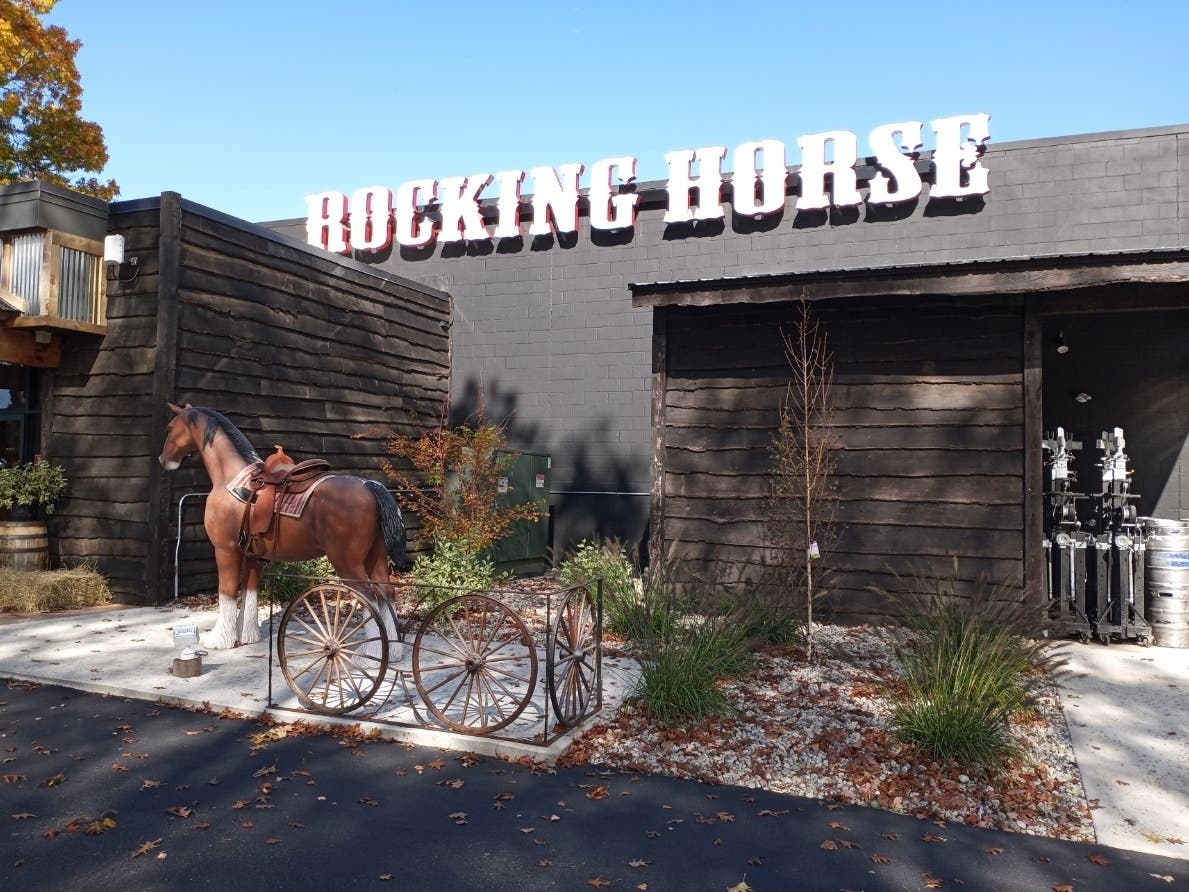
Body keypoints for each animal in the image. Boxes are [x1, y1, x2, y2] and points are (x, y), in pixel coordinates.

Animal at [158, 403, 406, 650]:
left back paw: (370, 652)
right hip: (376, 556)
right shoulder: (254, 555)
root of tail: (370, 485)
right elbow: (250, 591)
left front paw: (219, 640)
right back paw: (393, 650)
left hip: (347, 563)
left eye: (170, 428)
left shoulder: (225, 550)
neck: (230, 478)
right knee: (386, 591)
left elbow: (227, 591)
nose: (163, 459)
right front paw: (247, 636)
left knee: (370, 595)